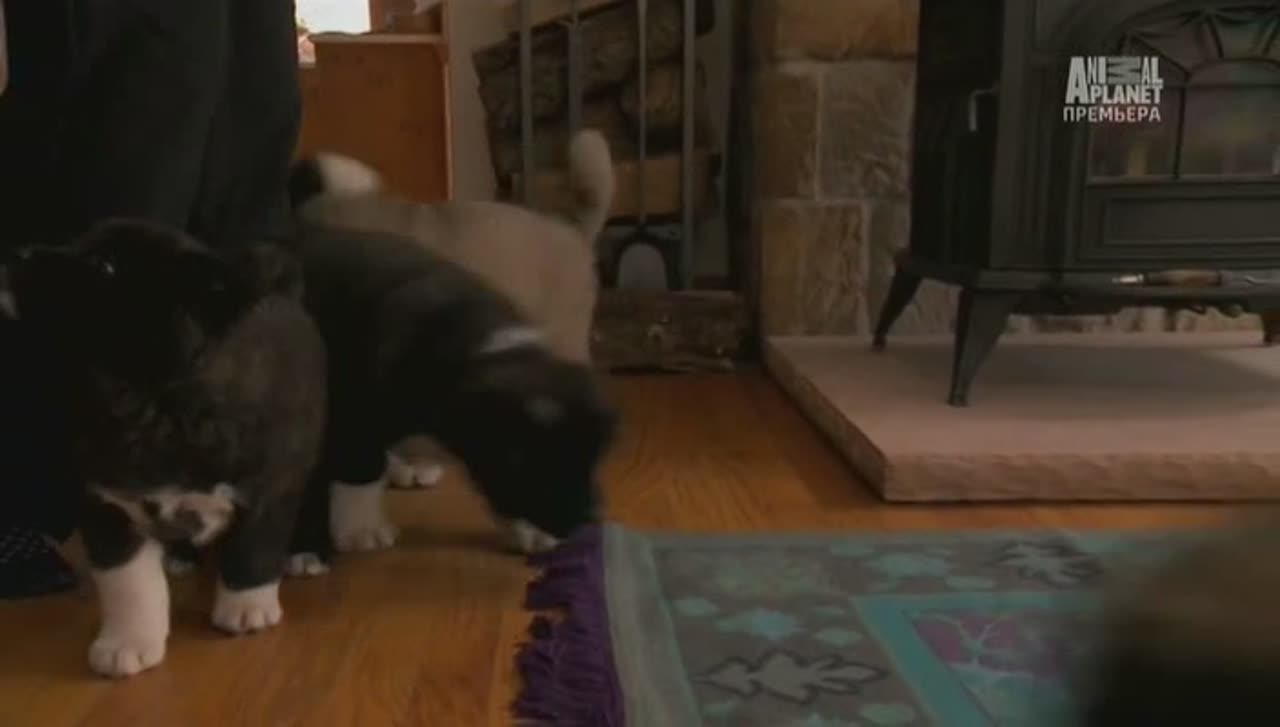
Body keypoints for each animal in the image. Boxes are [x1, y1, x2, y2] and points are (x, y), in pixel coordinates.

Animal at [2, 219, 327, 678]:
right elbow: (128, 582)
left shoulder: (270, 484)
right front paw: (127, 641)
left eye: (106, 266)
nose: (15, 254)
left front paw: (246, 605)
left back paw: (303, 552)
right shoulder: (107, 507)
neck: (152, 402)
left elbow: (255, 546)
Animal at [283, 223, 616, 575]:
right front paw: (355, 529)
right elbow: (356, 466)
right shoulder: (355, 410)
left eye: (591, 461)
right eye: (543, 469)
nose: (592, 518)